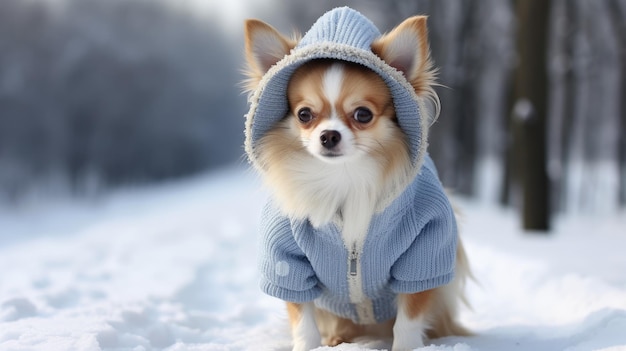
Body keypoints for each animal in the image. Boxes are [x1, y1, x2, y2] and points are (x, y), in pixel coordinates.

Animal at [243, 6, 468, 350]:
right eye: (304, 115)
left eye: (363, 114)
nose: (329, 135)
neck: (344, 176)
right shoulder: (286, 263)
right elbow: (303, 320)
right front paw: (307, 345)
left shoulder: (423, 255)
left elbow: (408, 319)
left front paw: (405, 347)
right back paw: (337, 338)